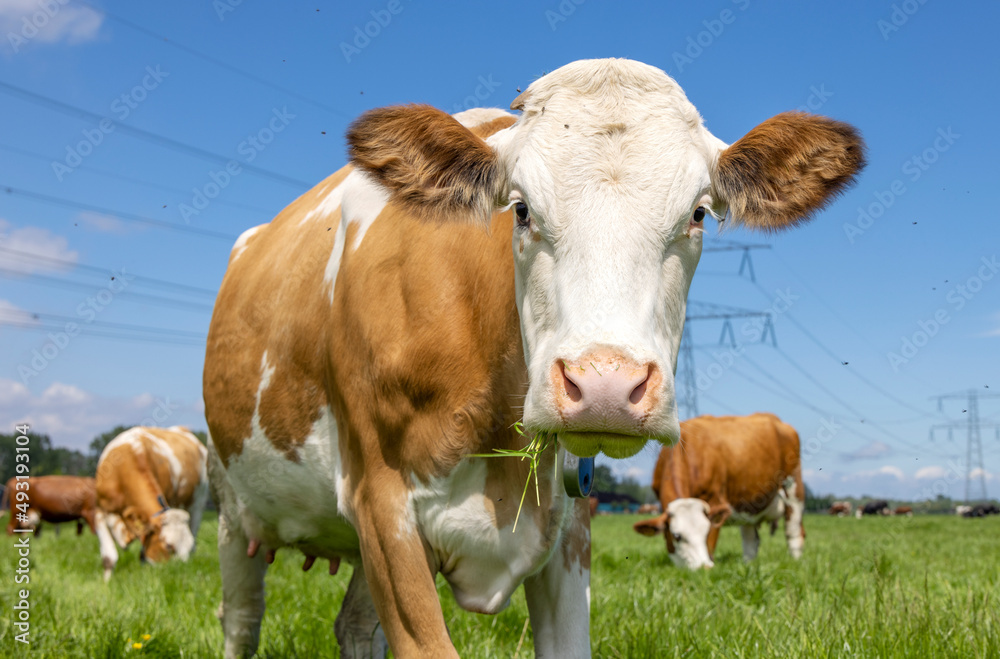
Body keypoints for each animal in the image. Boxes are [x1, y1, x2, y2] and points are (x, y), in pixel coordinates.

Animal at [94, 426, 209, 581]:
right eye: (168, 546)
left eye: (187, 546)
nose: (181, 574)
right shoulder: (99, 510)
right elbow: (109, 558)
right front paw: (106, 583)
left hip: (198, 503)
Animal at [632, 413, 805, 569]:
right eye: (677, 536)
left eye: (706, 531)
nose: (705, 567)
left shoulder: (714, 501)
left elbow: (711, 546)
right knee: (751, 541)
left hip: (794, 489)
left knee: (794, 532)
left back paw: (795, 563)